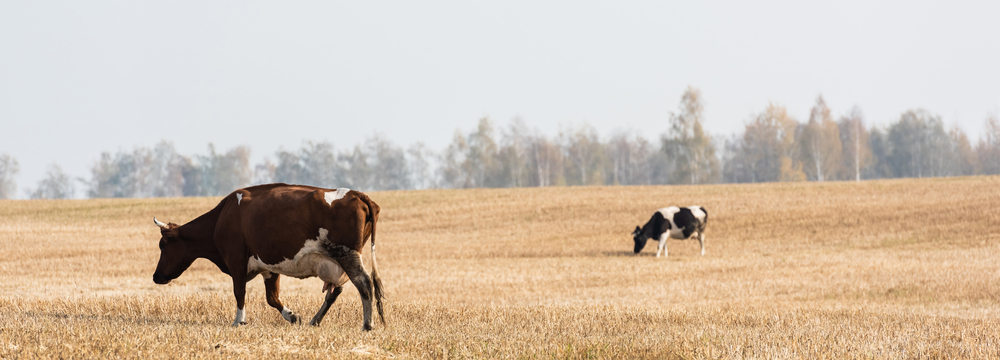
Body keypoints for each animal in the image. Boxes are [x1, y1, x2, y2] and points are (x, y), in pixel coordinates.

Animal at [152, 184, 386, 330]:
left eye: (163, 245)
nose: (156, 277)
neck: (223, 216)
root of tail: (357, 194)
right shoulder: (269, 268)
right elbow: (272, 298)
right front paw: (292, 316)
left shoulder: (236, 260)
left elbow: (239, 292)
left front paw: (239, 321)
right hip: (338, 261)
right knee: (336, 291)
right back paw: (315, 320)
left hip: (347, 254)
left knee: (364, 284)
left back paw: (367, 325)